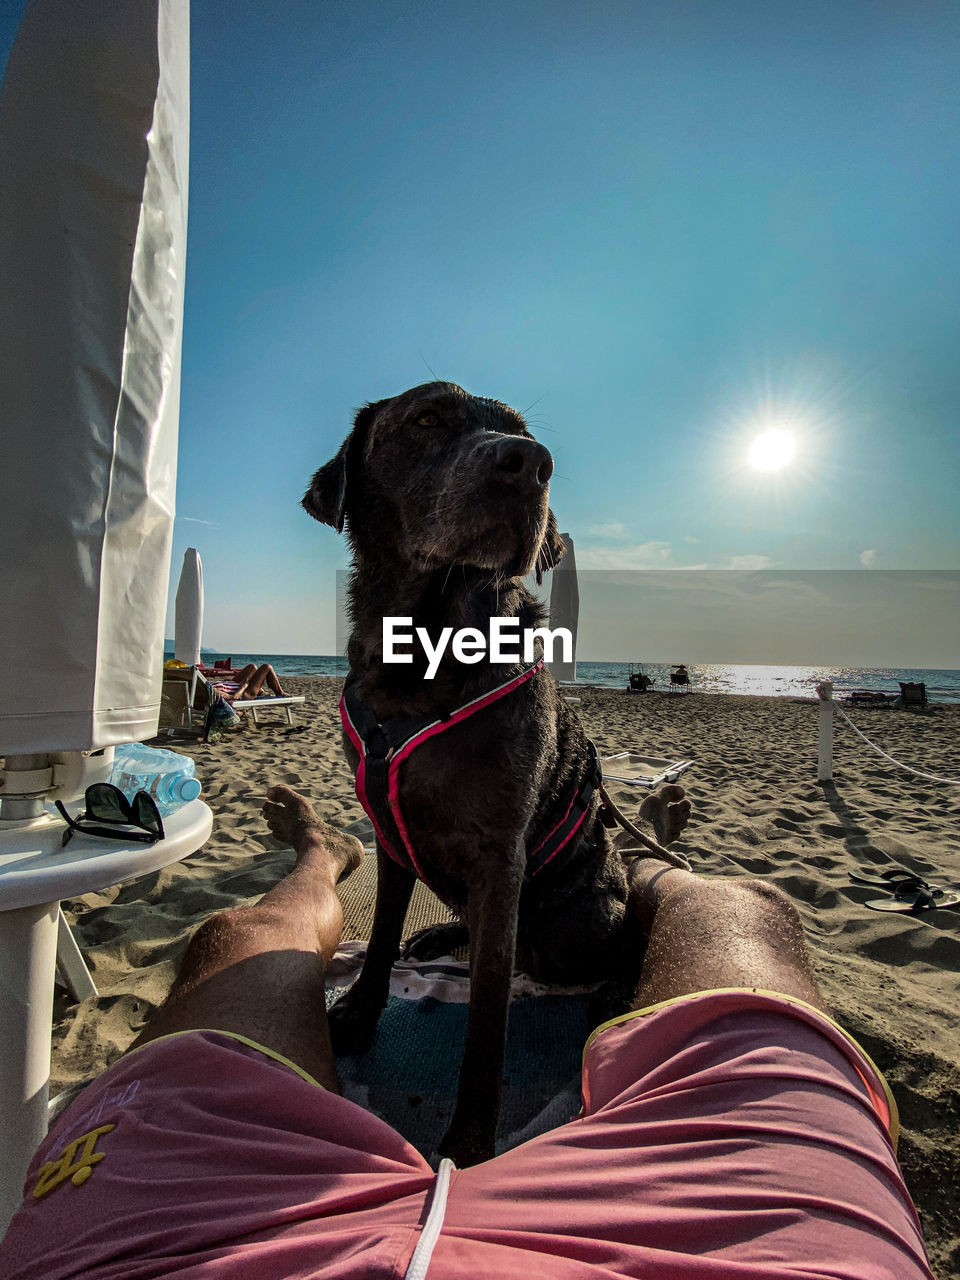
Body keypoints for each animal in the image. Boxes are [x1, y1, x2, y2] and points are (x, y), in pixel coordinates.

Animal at [302, 381, 686, 1172]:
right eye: (426, 418)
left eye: (524, 435)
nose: (531, 465)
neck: (424, 654)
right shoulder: (390, 833)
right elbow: (379, 938)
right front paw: (357, 1013)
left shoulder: (500, 852)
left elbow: (486, 1016)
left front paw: (471, 1140)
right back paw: (439, 936)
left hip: (574, 921)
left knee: (610, 941)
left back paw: (614, 989)